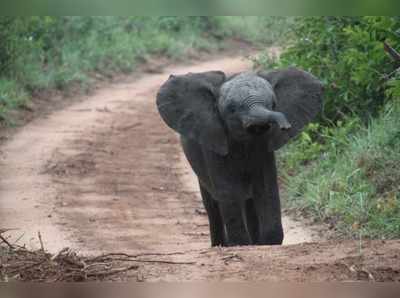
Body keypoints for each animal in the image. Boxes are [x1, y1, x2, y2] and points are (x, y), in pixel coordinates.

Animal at [155, 68, 322, 247]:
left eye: (273, 104)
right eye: (232, 109)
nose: (286, 126)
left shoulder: (263, 145)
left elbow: (266, 186)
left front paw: (269, 243)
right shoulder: (214, 140)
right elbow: (228, 187)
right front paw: (240, 244)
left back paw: (255, 243)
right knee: (212, 202)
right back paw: (221, 245)